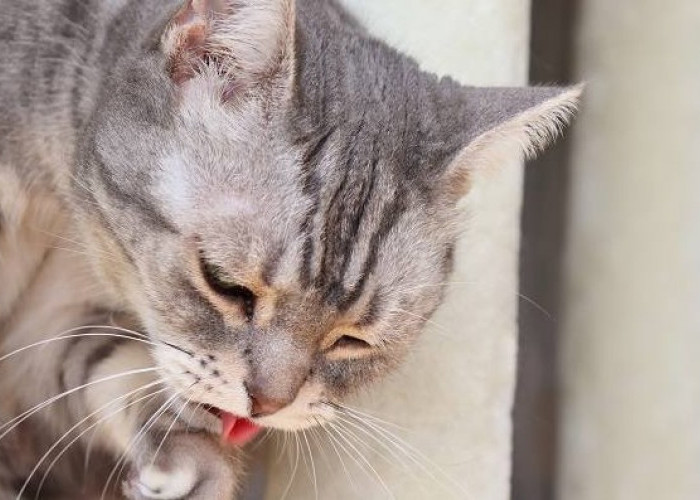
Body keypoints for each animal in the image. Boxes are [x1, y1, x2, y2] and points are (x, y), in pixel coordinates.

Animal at [0, 0, 580, 498]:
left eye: (352, 340)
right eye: (226, 285)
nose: (266, 405)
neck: (61, 216)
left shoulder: (55, 329)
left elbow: (110, 365)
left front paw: (191, 458)